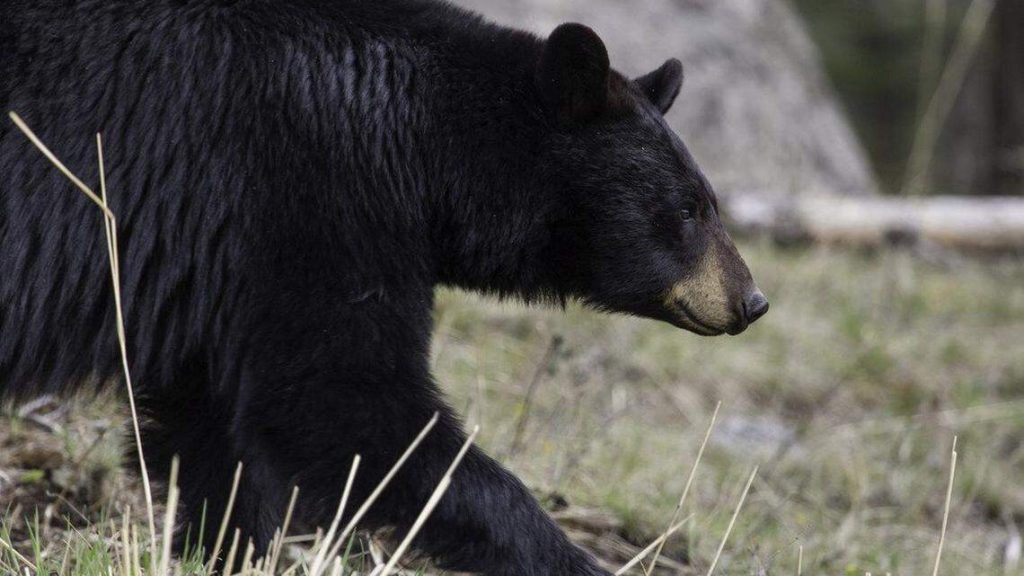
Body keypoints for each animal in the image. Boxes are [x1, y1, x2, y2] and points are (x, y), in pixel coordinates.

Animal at [0, 0, 768, 574]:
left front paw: (225, 548)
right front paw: (567, 558)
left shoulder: (222, 268)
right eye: (687, 210)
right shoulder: (309, 195)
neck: (421, 140)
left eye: (708, 201)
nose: (751, 301)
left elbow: (214, 423)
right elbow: (346, 401)